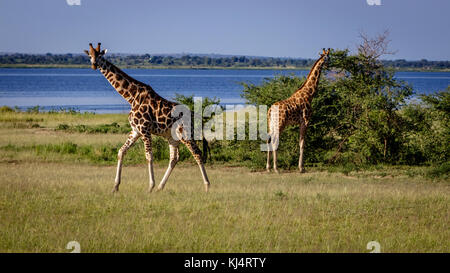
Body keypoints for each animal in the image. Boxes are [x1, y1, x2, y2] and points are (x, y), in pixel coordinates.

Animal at [84, 42, 211, 191]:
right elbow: (121, 151)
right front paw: (115, 187)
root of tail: (194, 116)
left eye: (100, 56)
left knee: (197, 154)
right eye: (90, 56)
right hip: (173, 137)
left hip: (185, 134)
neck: (131, 97)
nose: (94, 65)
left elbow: (149, 156)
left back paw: (207, 186)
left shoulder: (144, 129)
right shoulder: (136, 130)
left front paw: (150, 186)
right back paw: (160, 187)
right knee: (174, 158)